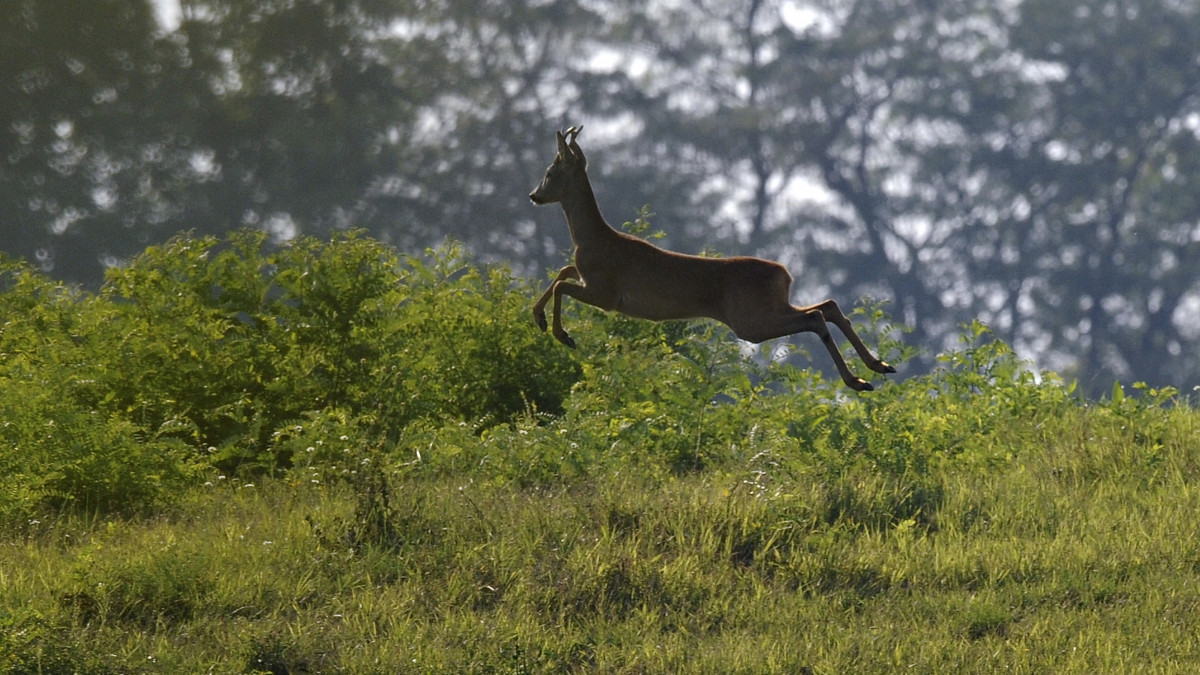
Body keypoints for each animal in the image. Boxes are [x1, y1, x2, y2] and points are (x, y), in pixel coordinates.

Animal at [530, 126, 897, 389]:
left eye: (549, 172)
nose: (534, 195)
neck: (592, 239)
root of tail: (784, 274)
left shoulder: (606, 294)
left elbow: (562, 283)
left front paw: (561, 334)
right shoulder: (590, 281)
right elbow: (563, 271)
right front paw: (538, 318)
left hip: (750, 321)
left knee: (816, 317)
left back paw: (858, 380)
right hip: (768, 309)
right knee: (828, 307)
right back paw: (878, 366)